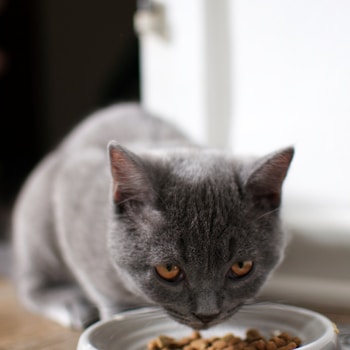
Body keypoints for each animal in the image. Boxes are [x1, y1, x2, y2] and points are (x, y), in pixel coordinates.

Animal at [12, 102, 294, 330]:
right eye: (168, 270)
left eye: (241, 267)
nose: (207, 314)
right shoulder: (72, 194)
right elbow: (104, 290)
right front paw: (117, 316)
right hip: (38, 215)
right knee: (31, 284)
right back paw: (71, 305)